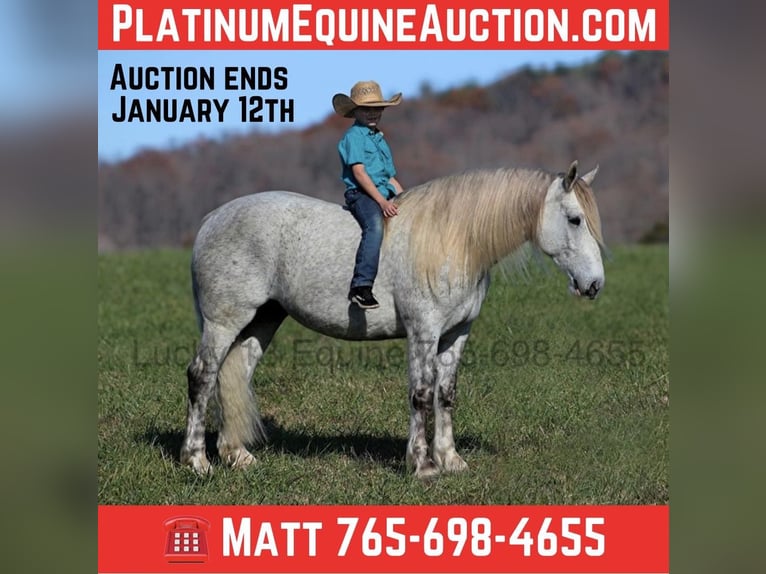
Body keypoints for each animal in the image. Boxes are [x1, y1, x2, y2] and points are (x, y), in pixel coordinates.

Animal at [180, 160, 605, 479]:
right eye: (574, 219)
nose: (594, 284)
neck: (454, 241)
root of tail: (212, 219)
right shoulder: (424, 332)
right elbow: (421, 395)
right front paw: (423, 466)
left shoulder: (456, 334)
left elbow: (445, 395)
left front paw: (451, 460)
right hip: (224, 322)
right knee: (202, 376)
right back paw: (197, 461)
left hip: (262, 321)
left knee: (234, 375)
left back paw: (236, 455)